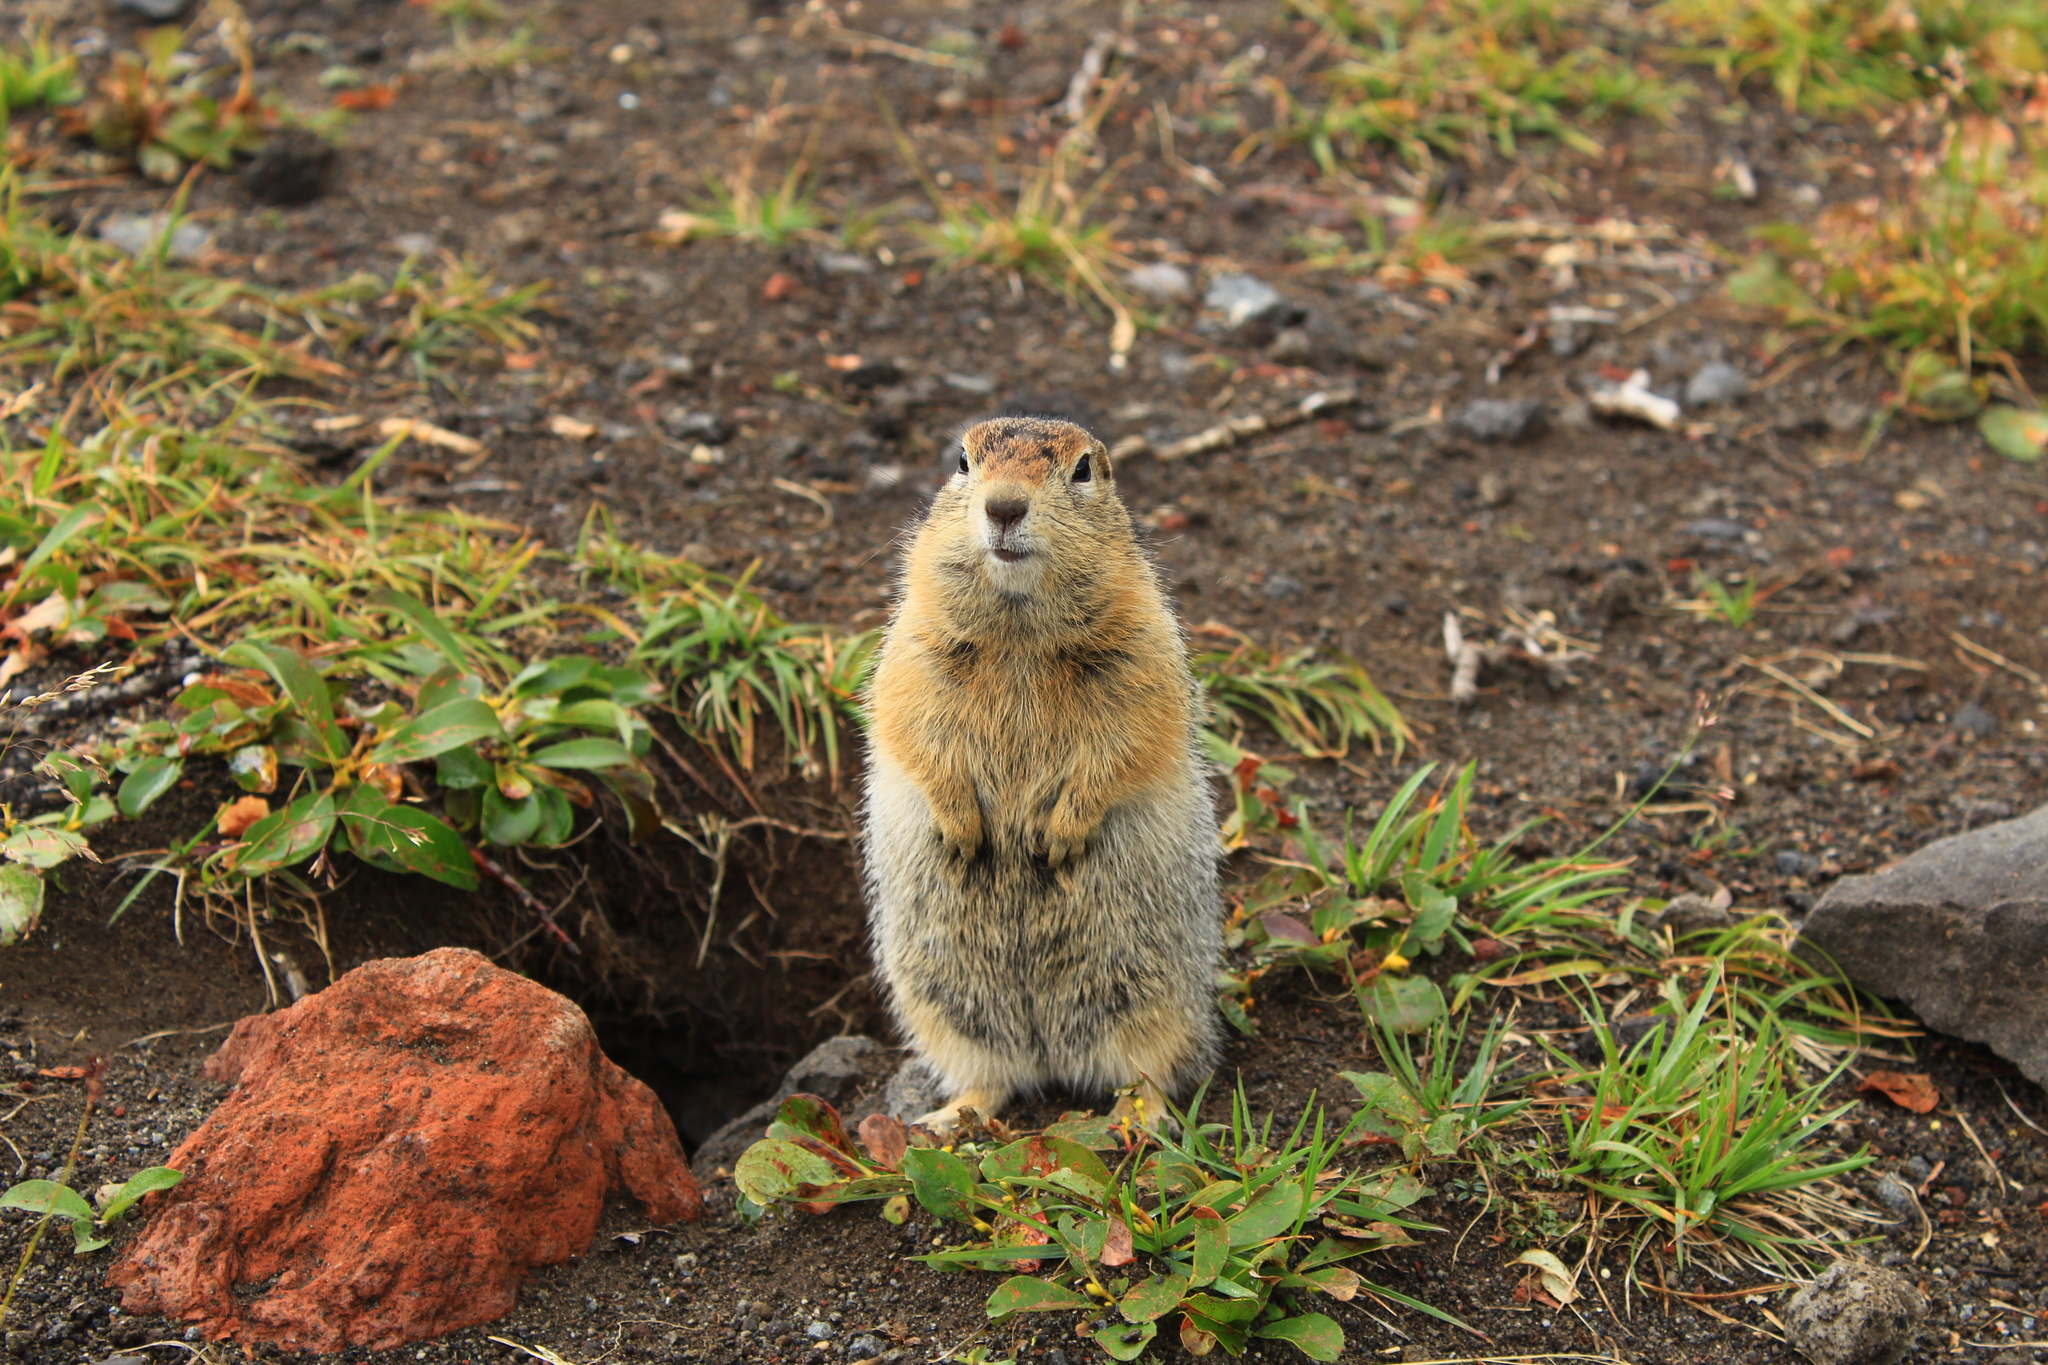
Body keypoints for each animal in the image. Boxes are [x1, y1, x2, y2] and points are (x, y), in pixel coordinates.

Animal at [860, 413, 1220, 1129]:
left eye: (1081, 470)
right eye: (962, 461)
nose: (1003, 506)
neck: (1018, 630)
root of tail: (1050, 1054)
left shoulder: (1144, 651)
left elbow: (1129, 741)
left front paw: (1059, 836)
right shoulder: (912, 647)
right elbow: (908, 726)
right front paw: (964, 829)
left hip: (1153, 991)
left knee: (1149, 1066)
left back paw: (1143, 1117)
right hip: (943, 997)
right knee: (991, 1072)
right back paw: (948, 1116)